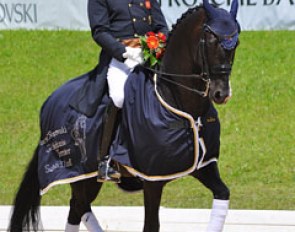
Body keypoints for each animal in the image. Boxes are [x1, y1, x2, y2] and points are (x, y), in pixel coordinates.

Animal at [8, 0, 240, 231]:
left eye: (235, 43)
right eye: (211, 41)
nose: (221, 93)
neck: (179, 102)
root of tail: (49, 101)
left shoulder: (203, 165)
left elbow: (223, 193)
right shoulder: (152, 180)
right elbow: (151, 225)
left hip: (87, 176)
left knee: (77, 207)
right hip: (76, 171)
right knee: (79, 204)